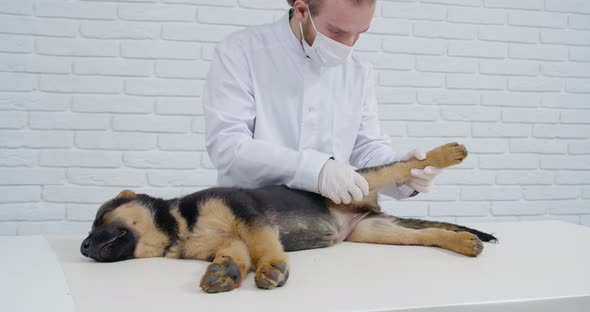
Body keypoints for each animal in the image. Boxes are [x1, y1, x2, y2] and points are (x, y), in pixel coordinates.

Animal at [82, 143, 500, 294]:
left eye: (100, 218)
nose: (84, 248)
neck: (178, 227)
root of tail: (360, 209)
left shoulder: (247, 215)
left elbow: (264, 245)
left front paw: (271, 267)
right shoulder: (227, 240)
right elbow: (236, 254)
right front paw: (224, 272)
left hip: (359, 181)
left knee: (403, 165)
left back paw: (447, 152)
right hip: (374, 230)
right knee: (427, 233)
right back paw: (463, 242)